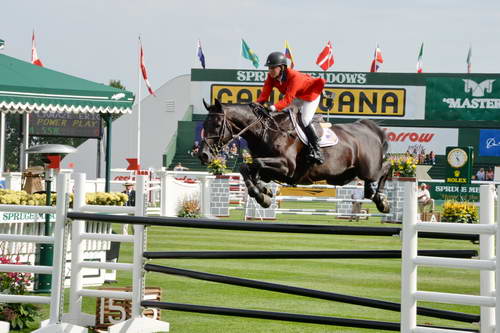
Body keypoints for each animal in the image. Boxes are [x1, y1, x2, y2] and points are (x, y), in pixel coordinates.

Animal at [198, 98, 390, 213]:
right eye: (204, 124)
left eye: (217, 125)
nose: (203, 155)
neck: (265, 132)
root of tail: (369, 128)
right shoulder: (271, 170)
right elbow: (247, 168)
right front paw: (263, 192)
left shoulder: (286, 167)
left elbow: (255, 164)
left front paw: (261, 194)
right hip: (343, 175)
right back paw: (372, 193)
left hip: (368, 169)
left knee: (386, 168)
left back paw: (382, 200)